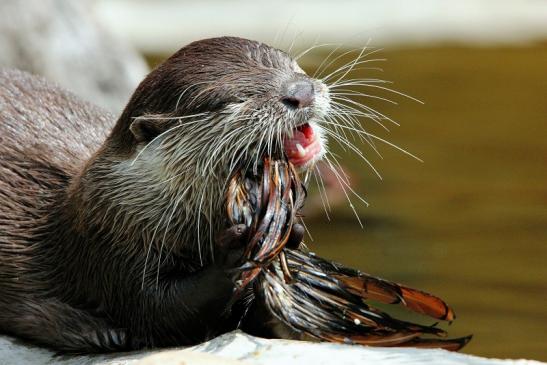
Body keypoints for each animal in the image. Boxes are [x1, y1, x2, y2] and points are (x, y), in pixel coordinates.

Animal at [0, 36, 330, 350]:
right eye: (235, 100)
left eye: (290, 64)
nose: (301, 90)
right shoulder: (108, 240)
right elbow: (157, 309)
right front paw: (238, 250)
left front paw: (293, 234)